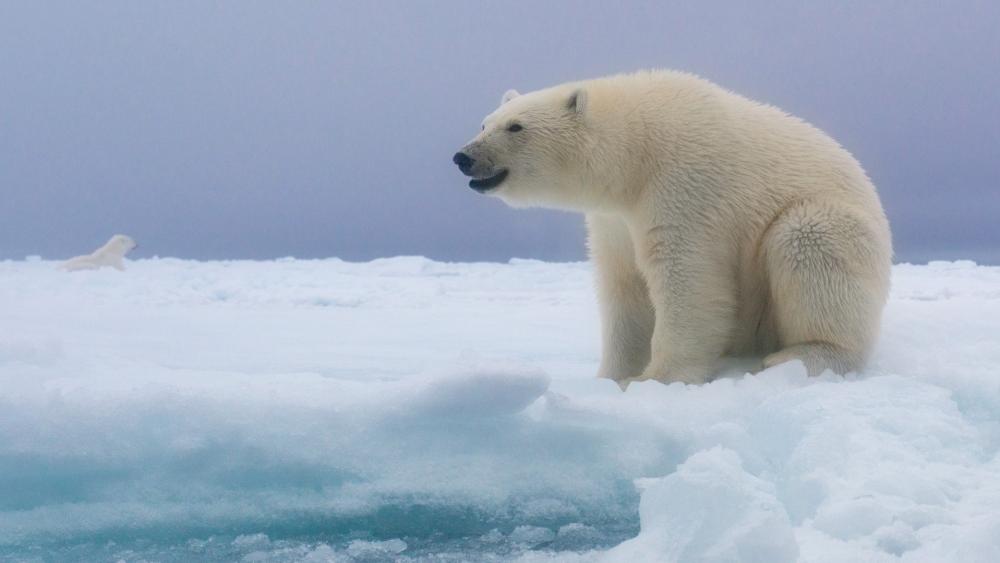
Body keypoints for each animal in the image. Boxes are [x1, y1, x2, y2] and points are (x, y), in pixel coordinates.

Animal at [453, 70, 892, 385]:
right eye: (484, 123)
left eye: (516, 127)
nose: (463, 157)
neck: (636, 153)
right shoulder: (615, 218)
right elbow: (624, 285)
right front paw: (612, 376)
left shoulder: (685, 185)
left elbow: (689, 279)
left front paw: (658, 379)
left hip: (830, 226)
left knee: (809, 244)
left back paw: (802, 356)